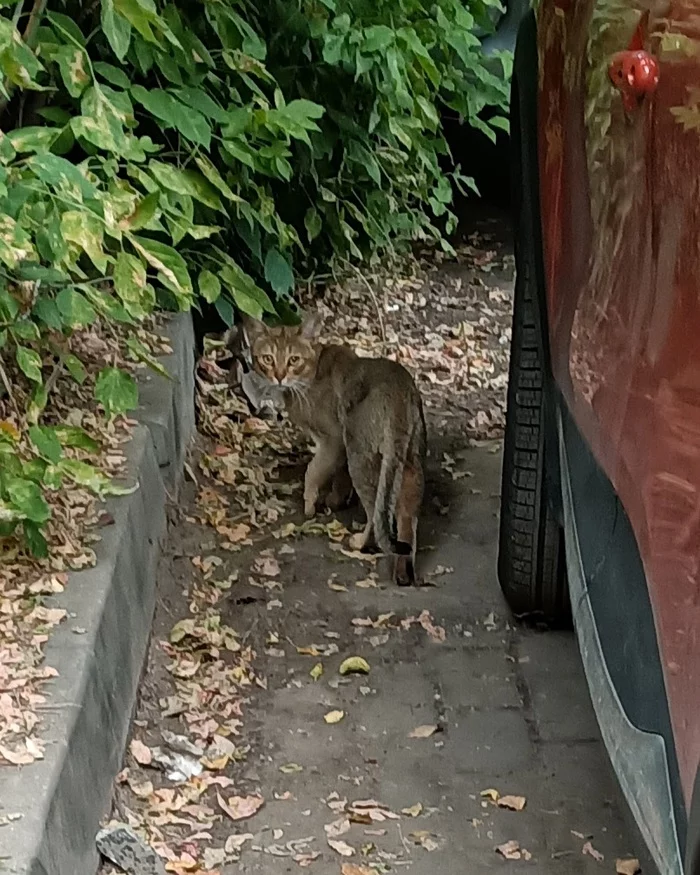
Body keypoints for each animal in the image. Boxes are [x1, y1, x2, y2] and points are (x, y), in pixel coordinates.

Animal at [239, 312, 426, 584]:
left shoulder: (334, 439)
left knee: (375, 509)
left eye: (294, 360)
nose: (280, 376)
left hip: (360, 451)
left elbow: (314, 471)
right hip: (410, 459)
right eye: (268, 358)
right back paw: (404, 569)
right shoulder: (340, 446)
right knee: (407, 514)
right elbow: (339, 475)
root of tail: (398, 392)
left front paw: (309, 504)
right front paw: (337, 498)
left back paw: (360, 543)